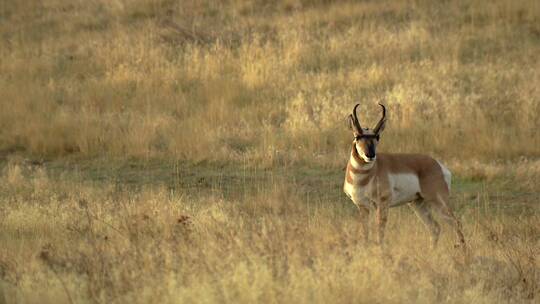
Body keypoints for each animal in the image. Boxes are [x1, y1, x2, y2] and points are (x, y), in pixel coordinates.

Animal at [346, 104, 464, 247]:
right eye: (357, 136)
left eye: (377, 137)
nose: (370, 155)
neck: (364, 177)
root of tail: (438, 165)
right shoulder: (363, 206)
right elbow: (365, 233)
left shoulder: (382, 205)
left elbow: (380, 232)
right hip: (418, 204)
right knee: (435, 228)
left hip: (438, 202)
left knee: (456, 223)